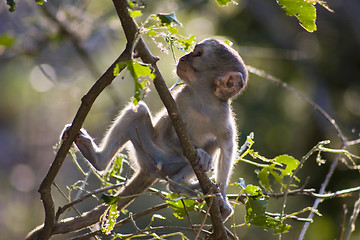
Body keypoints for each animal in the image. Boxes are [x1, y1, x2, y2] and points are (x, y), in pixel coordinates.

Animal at [62, 38, 248, 221]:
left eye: (198, 54)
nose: (183, 58)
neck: (202, 100)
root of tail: (149, 171)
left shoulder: (223, 115)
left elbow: (227, 146)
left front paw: (223, 199)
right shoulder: (179, 99)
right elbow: (165, 135)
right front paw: (199, 154)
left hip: (168, 165)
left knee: (212, 145)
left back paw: (178, 183)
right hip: (147, 153)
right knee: (139, 110)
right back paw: (98, 159)